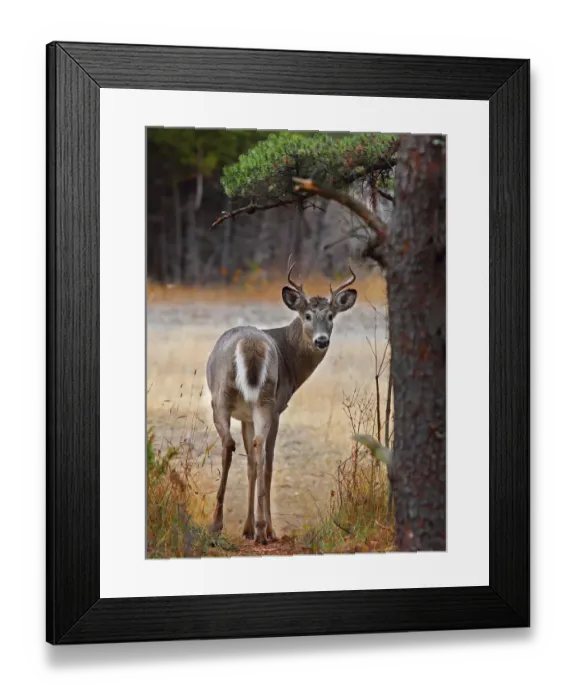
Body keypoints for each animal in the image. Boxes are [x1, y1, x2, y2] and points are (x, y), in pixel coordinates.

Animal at [205, 258, 358, 544]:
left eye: (331, 316)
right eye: (307, 315)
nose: (322, 340)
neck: (290, 358)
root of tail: (250, 345)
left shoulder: (246, 415)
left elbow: (251, 464)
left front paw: (248, 528)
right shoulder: (278, 407)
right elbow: (264, 464)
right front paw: (261, 528)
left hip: (235, 398)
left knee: (237, 445)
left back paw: (226, 524)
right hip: (259, 400)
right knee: (260, 454)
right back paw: (261, 529)